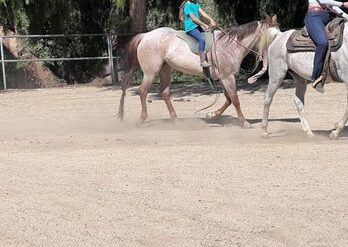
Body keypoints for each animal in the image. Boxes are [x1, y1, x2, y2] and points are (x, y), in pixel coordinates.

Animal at [118, 15, 278, 127]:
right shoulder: (228, 77)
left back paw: (175, 120)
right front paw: (244, 122)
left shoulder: (224, 78)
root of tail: (145, 35)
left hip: (165, 69)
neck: (231, 45)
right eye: (273, 35)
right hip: (151, 72)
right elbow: (235, 100)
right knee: (143, 91)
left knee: (165, 93)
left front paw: (212, 114)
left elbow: (228, 100)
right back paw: (141, 119)